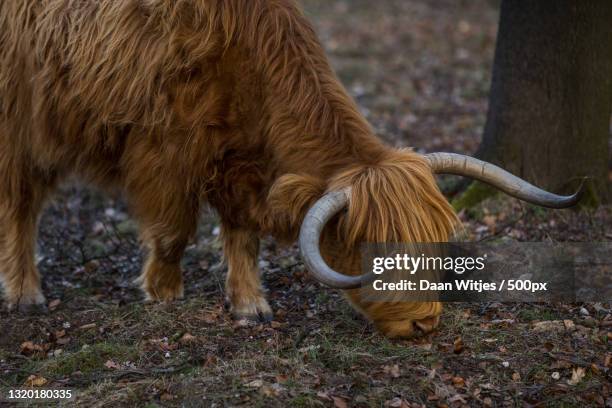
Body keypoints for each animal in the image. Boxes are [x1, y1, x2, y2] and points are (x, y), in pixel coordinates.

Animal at [1, 0, 584, 338]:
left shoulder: (242, 162)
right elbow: (173, 230)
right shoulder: (164, 151)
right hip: (20, 126)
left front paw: (250, 305)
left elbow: (243, 234)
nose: (425, 324)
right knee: (21, 206)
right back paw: (26, 293)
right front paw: (163, 293)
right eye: (377, 255)